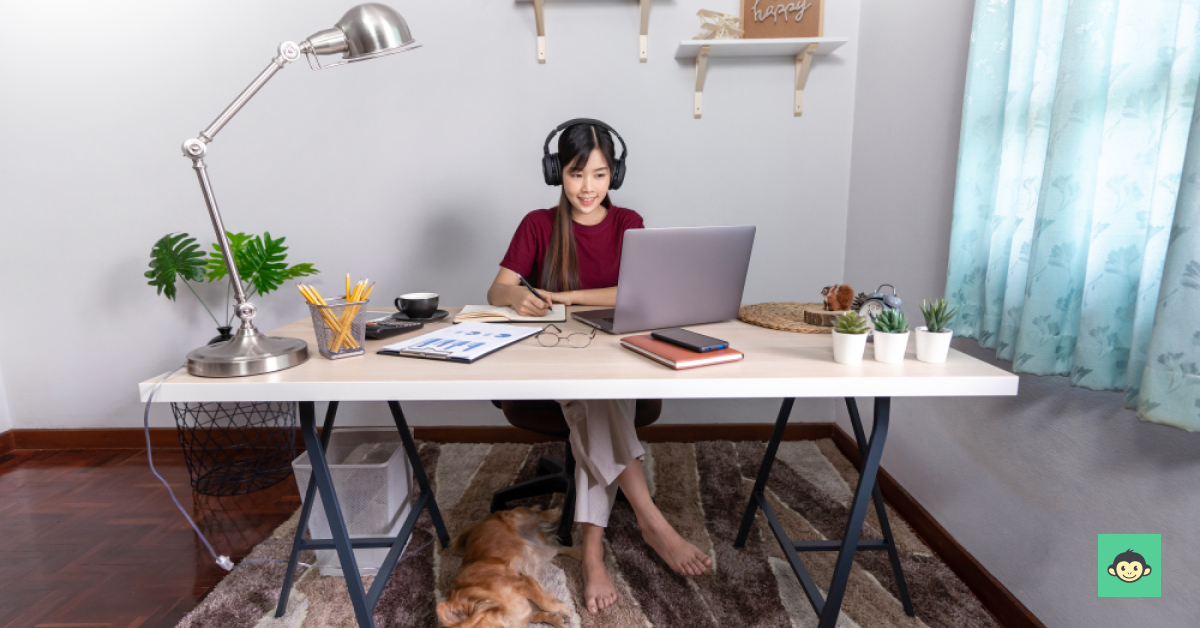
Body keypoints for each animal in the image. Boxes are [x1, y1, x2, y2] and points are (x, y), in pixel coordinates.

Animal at [436, 509, 580, 624]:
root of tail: (478, 525)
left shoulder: (521, 581)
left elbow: (544, 601)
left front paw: (562, 609)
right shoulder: (529, 609)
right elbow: (540, 615)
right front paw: (558, 619)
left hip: (517, 517)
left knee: (535, 513)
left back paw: (554, 513)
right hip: (543, 549)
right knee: (559, 548)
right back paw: (578, 552)